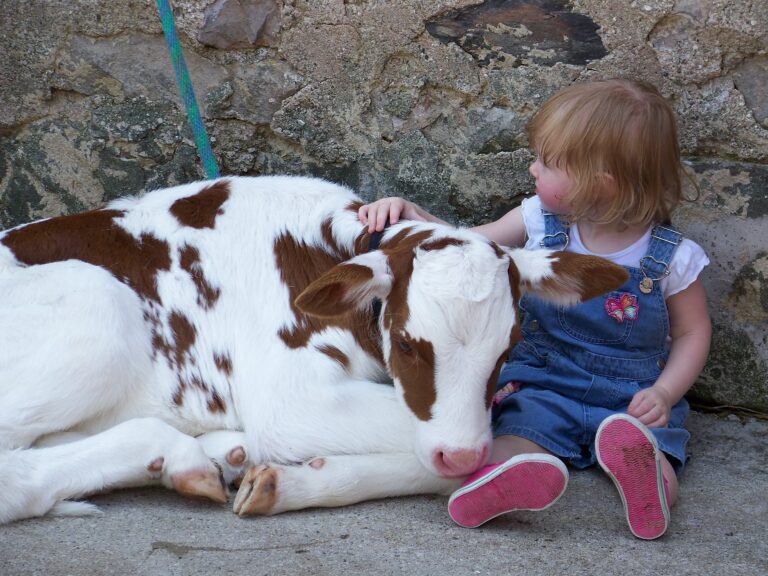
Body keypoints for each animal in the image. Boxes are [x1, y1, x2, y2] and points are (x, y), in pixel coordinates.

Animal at [0, 176, 627, 523]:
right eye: (407, 342)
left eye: (510, 345)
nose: (459, 452)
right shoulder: (292, 398)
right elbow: (473, 447)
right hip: (99, 304)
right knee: (19, 476)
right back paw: (184, 456)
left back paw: (218, 454)